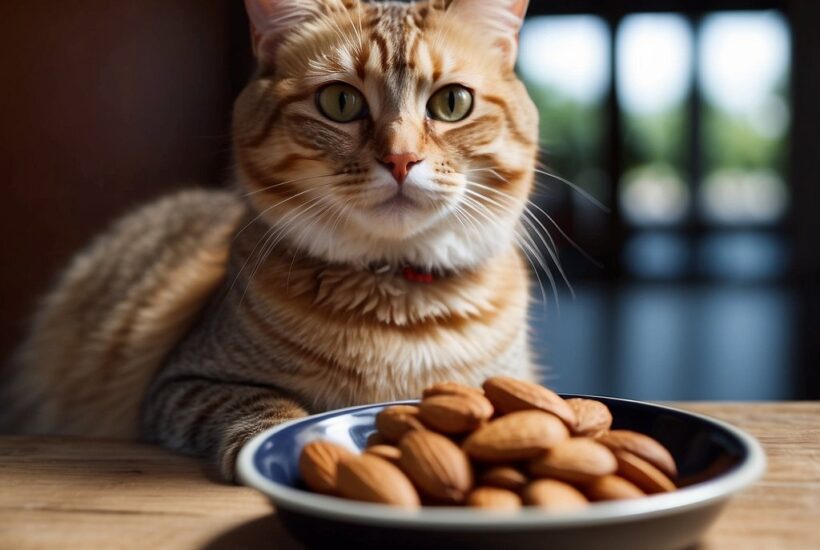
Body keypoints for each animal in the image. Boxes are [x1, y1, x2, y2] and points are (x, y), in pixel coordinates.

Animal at [0, 0, 540, 484]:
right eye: (340, 102)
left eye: (451, 103)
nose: (401, 159)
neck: (396, 300)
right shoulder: (181, 383)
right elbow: (262, 402)